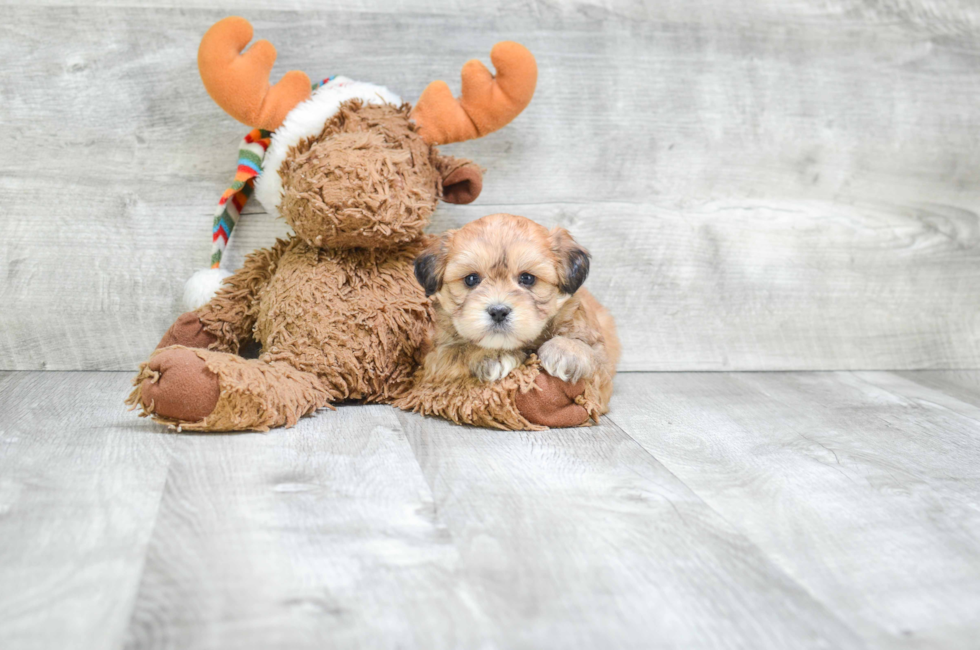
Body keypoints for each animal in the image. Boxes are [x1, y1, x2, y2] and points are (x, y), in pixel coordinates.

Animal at [416, 213, 620, 410]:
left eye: (527, 278)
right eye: (471, 279)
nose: (498, 311)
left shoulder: (600, 367)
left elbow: (593, 355)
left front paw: (566, 350)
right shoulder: (434, 360)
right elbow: (458, 350)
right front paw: (492, 355)